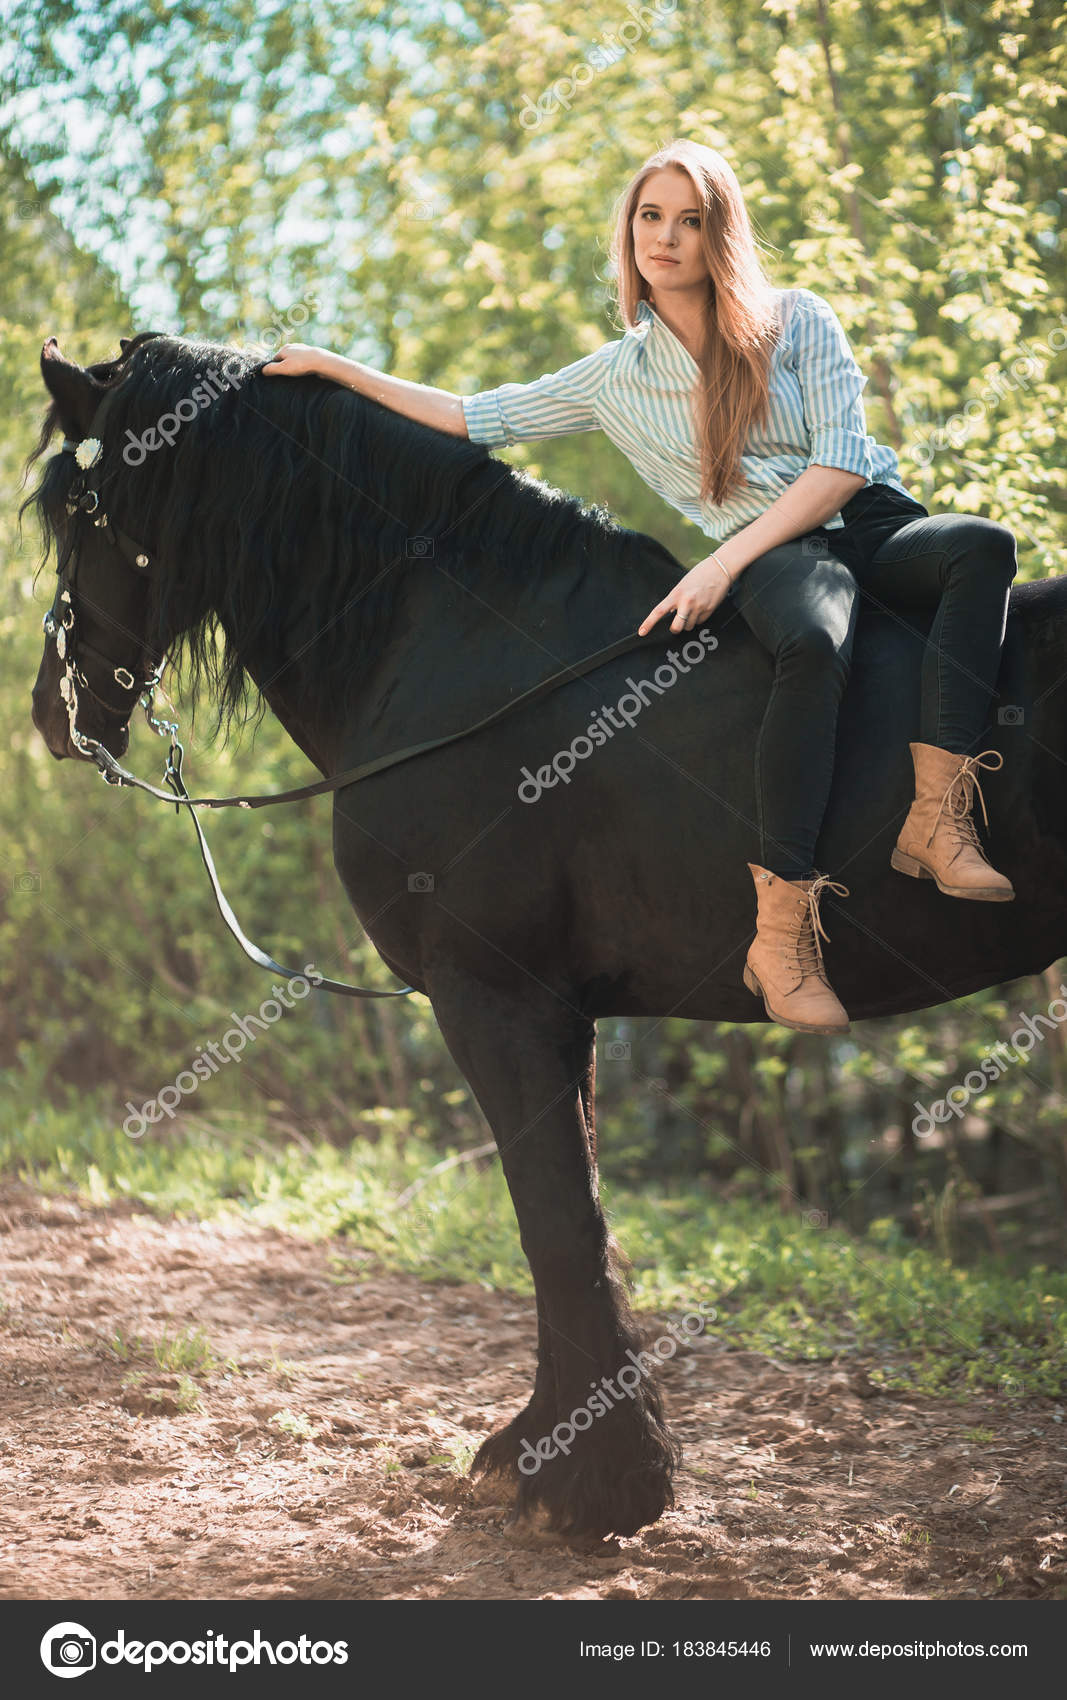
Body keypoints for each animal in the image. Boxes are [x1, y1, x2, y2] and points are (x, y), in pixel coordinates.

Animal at [25, 331, 1067, 1543]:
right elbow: (577, 1216)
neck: (470, 656)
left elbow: (554, 1222)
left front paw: (592, 1479)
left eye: (77, 510)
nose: (53, 715)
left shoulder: (494, 995)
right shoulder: (560, 1012)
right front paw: (565, 1448)